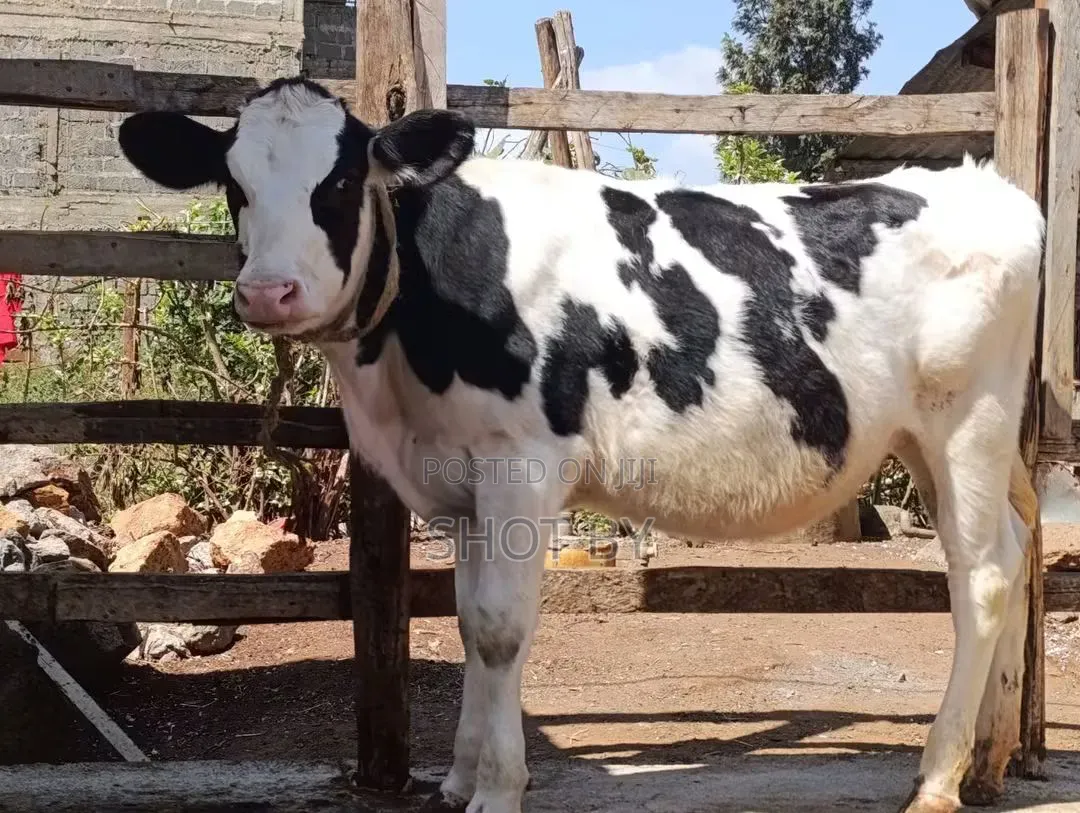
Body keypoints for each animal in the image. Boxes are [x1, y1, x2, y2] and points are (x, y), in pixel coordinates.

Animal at [116, 77, 1045, 813]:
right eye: (233, 182)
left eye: (341, 180)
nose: (268, 291)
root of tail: (991, 187)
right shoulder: (461, 482)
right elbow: (463, 620)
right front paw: (457, 777)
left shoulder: (521, 466)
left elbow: (498, 627)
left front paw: (498, 789)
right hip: (925, 437)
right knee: (1013, 546)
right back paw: (988, 759)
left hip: (967, 421)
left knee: (982, 575)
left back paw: (937, 778)